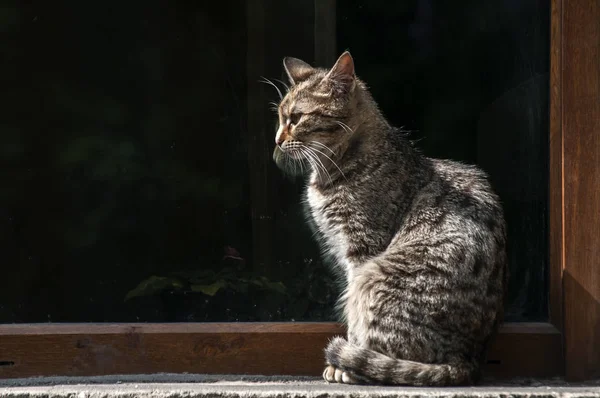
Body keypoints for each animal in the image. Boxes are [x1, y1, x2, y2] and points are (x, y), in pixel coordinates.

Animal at [270, 52, 506, 386]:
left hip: (375, 277)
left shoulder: (361, 251)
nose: (277, 140)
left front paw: (345, 362)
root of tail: (467, 361)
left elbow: (353, 319)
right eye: (280, 117)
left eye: (296, 118)